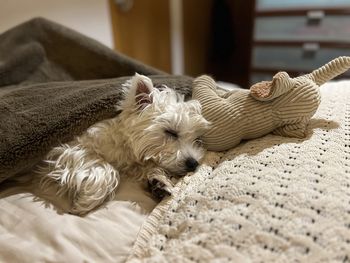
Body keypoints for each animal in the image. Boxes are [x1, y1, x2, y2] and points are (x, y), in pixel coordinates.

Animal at [38, 73, 208, 216]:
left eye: (197, 139)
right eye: (171, 132)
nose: (194, 163)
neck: (123, 146)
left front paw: (159, 182)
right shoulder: (74, 148)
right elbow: (106, 168)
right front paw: (85, 201)